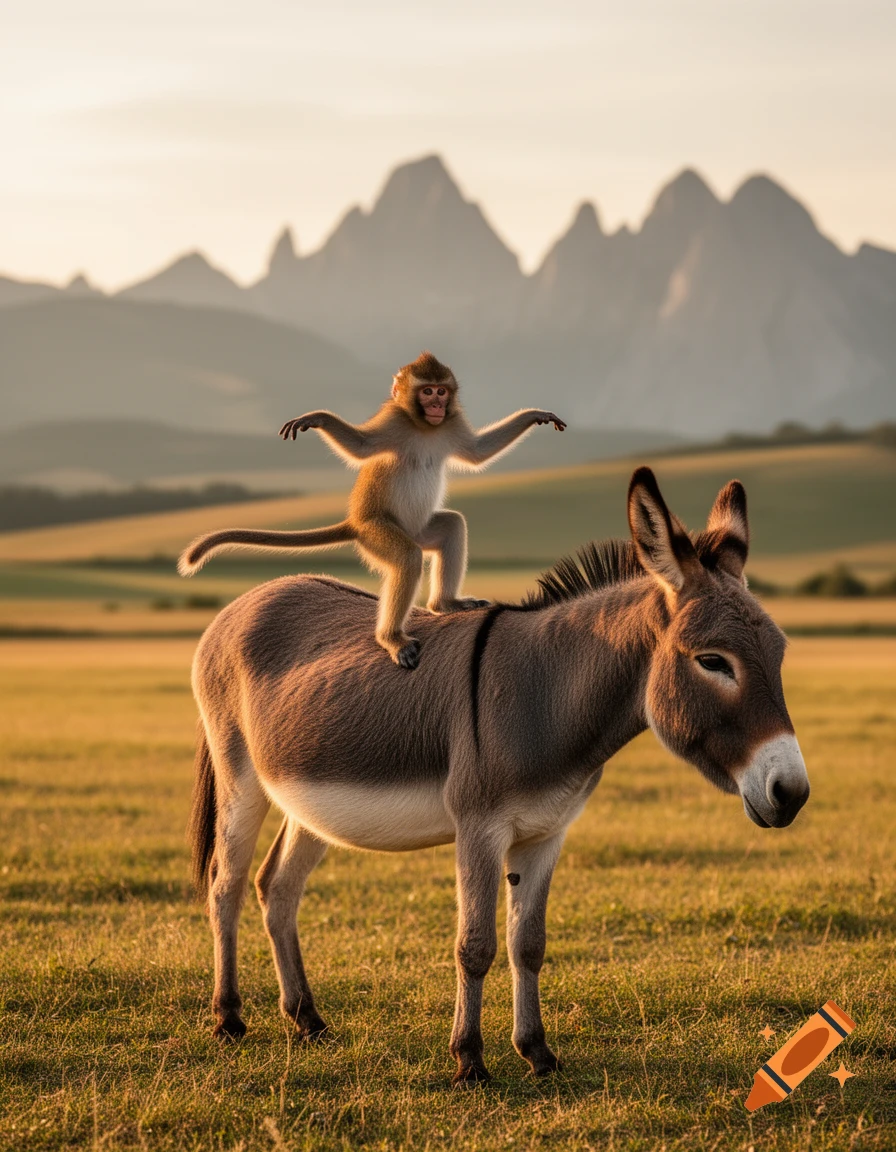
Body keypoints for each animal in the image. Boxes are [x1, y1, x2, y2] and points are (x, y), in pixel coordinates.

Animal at [178, 352, 566, 669]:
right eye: (427, 392)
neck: (423, 426)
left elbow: (477, 452)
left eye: (442, 391)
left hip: (417, 528)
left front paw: (534, 416)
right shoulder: (393, 419)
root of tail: (355, 523)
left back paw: (444, 604)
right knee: (407, 558)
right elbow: (362, 446)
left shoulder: (451, 424)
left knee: (452, 526)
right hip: (378, 533)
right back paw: (392, 637)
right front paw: (319, 419)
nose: (437, 405)